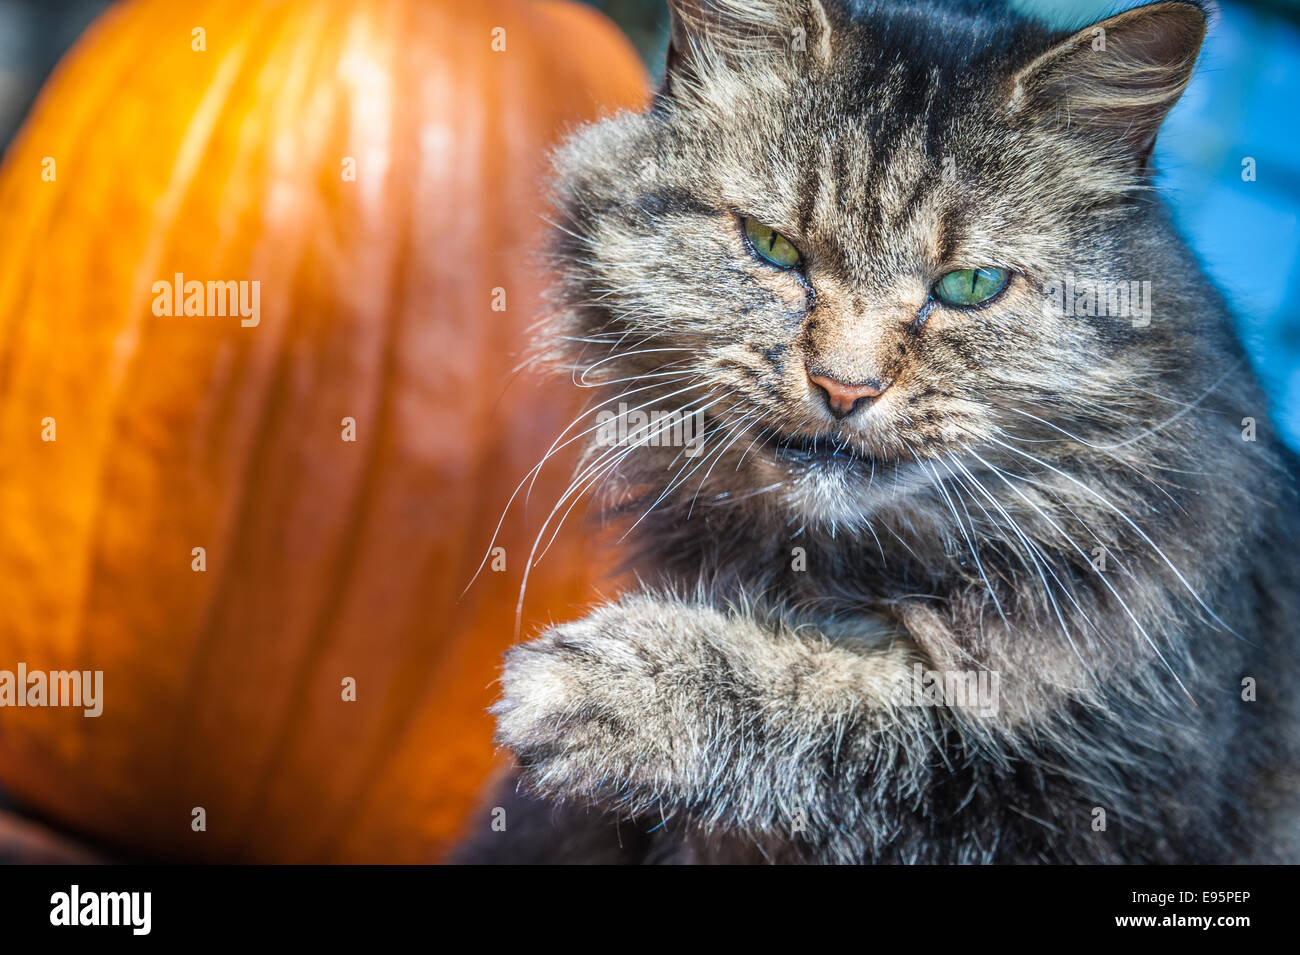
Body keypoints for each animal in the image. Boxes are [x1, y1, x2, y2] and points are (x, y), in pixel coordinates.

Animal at [454, 0, 1300, 867]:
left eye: (971, 286)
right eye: (774, 247)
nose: (844, 387)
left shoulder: (1098, 803)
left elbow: (871, 708)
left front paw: (609, 686)